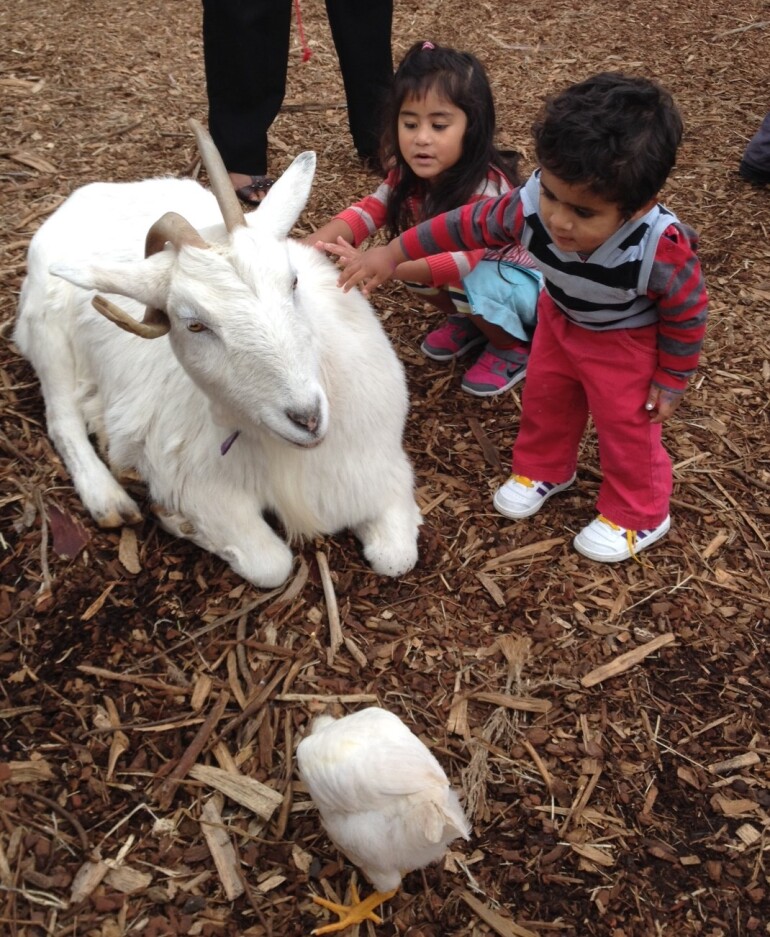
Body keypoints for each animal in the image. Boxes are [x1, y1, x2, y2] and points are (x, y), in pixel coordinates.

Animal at [13, 117, 420, 584]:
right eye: (194, 324)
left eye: (293, 281)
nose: (307, 418)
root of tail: (87, 194)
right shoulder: (199, 485)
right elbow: (271, 564)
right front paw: (175, 518)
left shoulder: (379, 471)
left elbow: (396, 557)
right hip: (47, 335)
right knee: (62, 420)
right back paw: (109, 499)